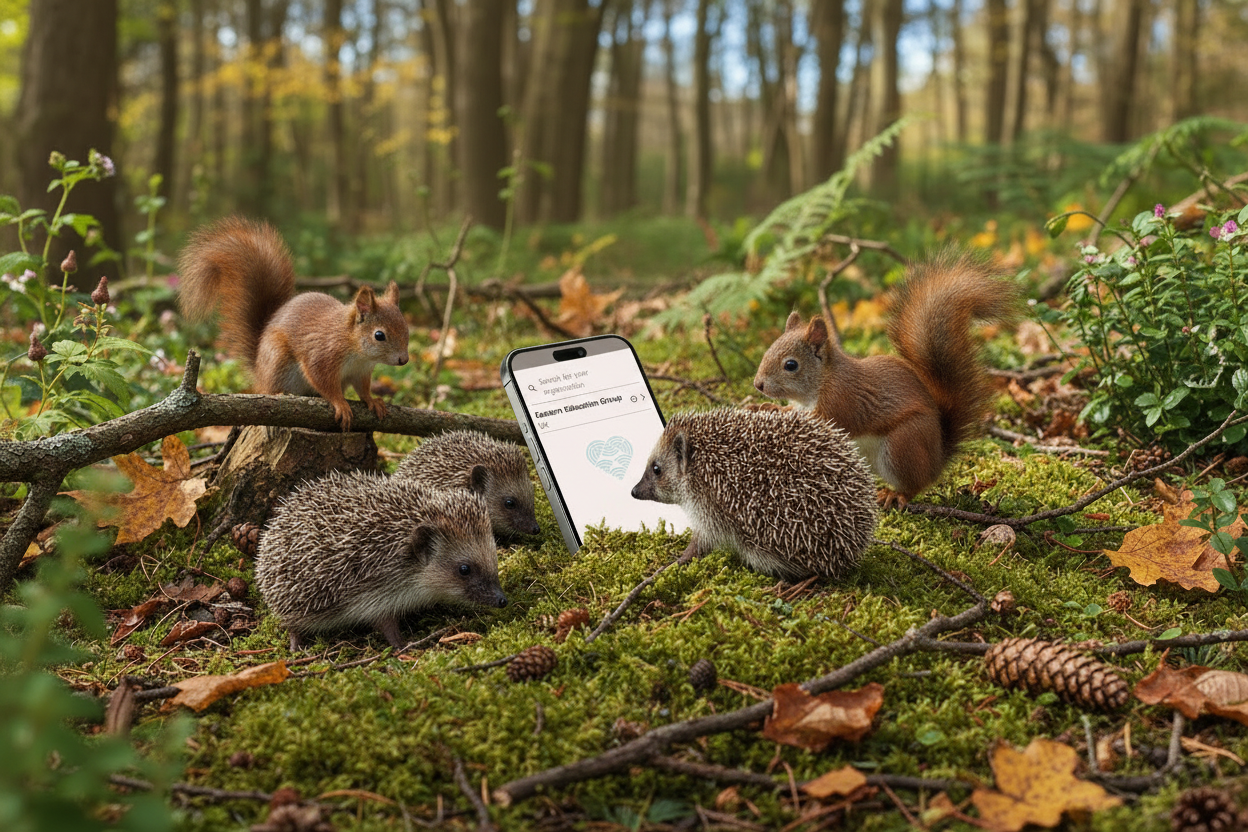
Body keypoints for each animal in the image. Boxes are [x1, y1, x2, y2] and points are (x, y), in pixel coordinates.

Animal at [178, 216, 410, 431]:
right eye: (379, 335)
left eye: (407, 329)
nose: (404, 360)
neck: (356, 349)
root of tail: (259, 370)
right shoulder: (322, 355)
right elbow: (323, 382)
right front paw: (341, 404)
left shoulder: (361, 372)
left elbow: (363, 389)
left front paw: (373, 401)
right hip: (277, 360)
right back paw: (279, 395)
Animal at [752, 251, 1018, 506]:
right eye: (768, 349)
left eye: (791, 365)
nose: (758, 385)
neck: (821, 381)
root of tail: (937, 460)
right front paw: (768, 408)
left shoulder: (841, 400)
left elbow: (823, 420)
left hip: (902, 445)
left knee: (915, 484)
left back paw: (895, 495)